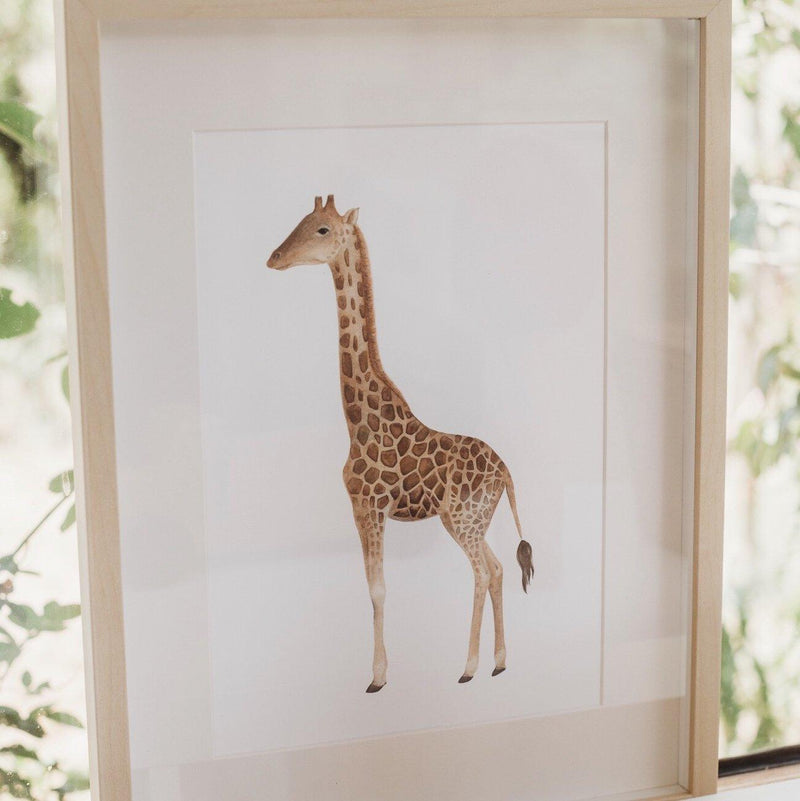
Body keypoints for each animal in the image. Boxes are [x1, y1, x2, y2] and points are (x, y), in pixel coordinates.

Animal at [267, 195, 534, 692]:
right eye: (302, 220)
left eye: (322, 229)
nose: (274, 257)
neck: (357, 421)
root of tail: (506, 472)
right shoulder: (363, 509)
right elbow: (375, 586)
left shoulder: (369, 507)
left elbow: (377, 588)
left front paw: (376, 677)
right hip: (466, 521)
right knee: (498, 569)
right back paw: (499, 662)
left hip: (465, 521)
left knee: (481, 572)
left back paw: (469, 667)